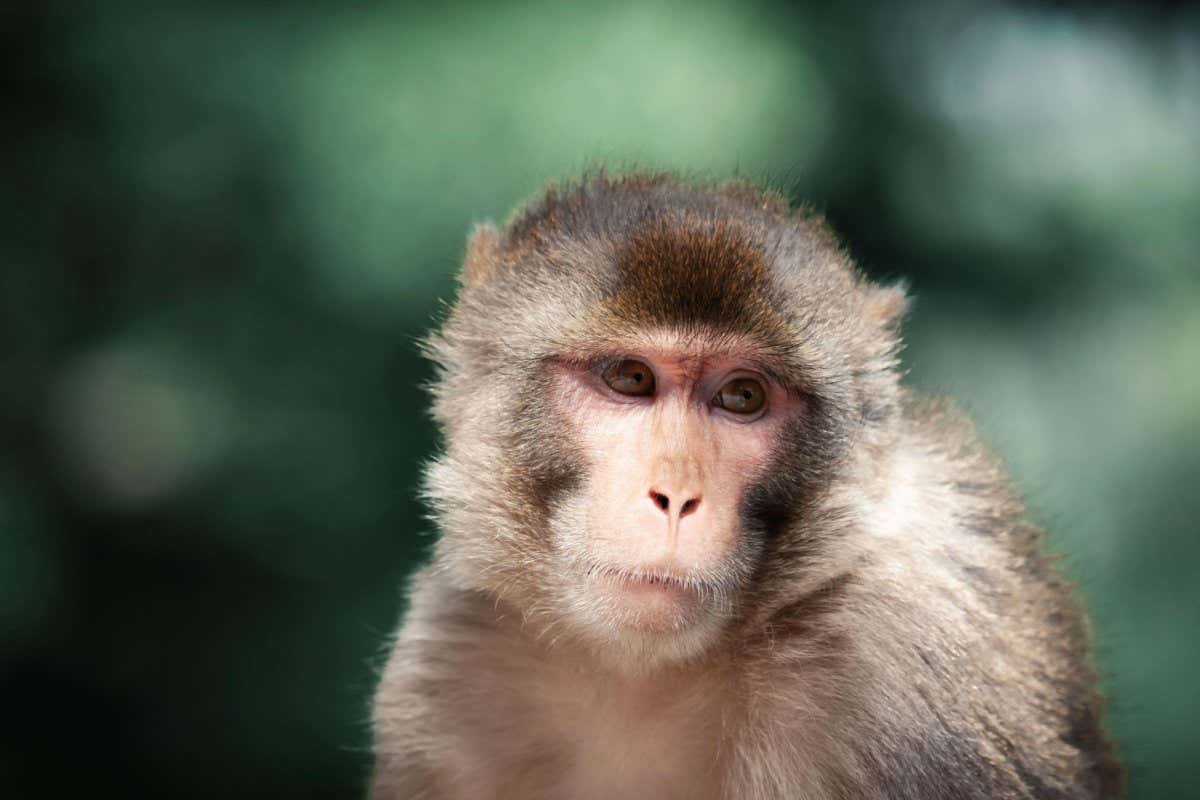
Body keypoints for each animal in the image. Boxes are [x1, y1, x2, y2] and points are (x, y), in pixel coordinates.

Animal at [368, 172, 1122, 799]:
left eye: (742, 396)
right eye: (630, 378)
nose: (675, 498)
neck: (644, 674)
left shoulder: (897, 678)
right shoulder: (455, 657)